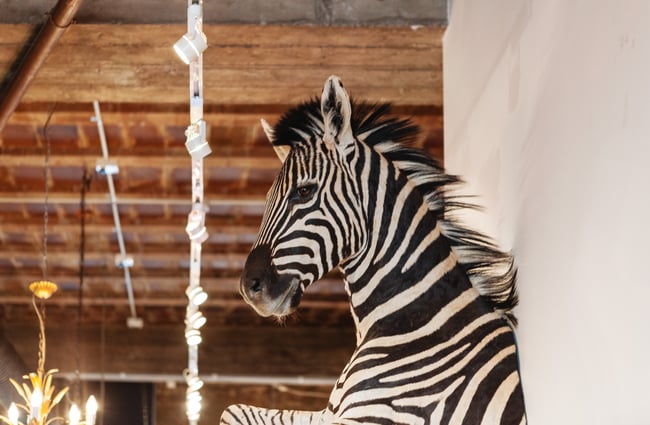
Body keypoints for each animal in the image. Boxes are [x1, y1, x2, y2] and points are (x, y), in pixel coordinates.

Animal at [220, 75, 526, 425]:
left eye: (304, 191)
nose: (250, 288)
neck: (412, 318)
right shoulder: (327, 413)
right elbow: (232, 410)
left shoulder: (374, 417)